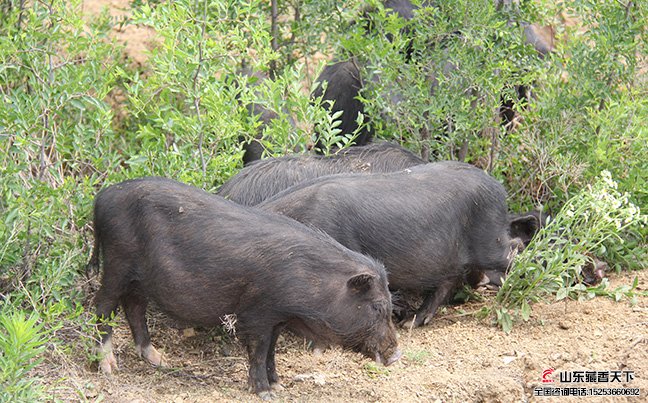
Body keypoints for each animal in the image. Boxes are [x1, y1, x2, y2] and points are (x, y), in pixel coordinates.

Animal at [86, 178, 400, 400]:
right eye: (377, 307)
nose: (396, 355)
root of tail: (102, 197)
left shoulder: (277, 317)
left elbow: (271, 350)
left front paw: (279, 386)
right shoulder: (257, 311)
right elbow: (259, 350)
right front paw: (265, 392)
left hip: (139, 278)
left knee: (134, 307)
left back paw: (159, 360)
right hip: (116, 263)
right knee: (102, 306)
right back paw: (109, 368)